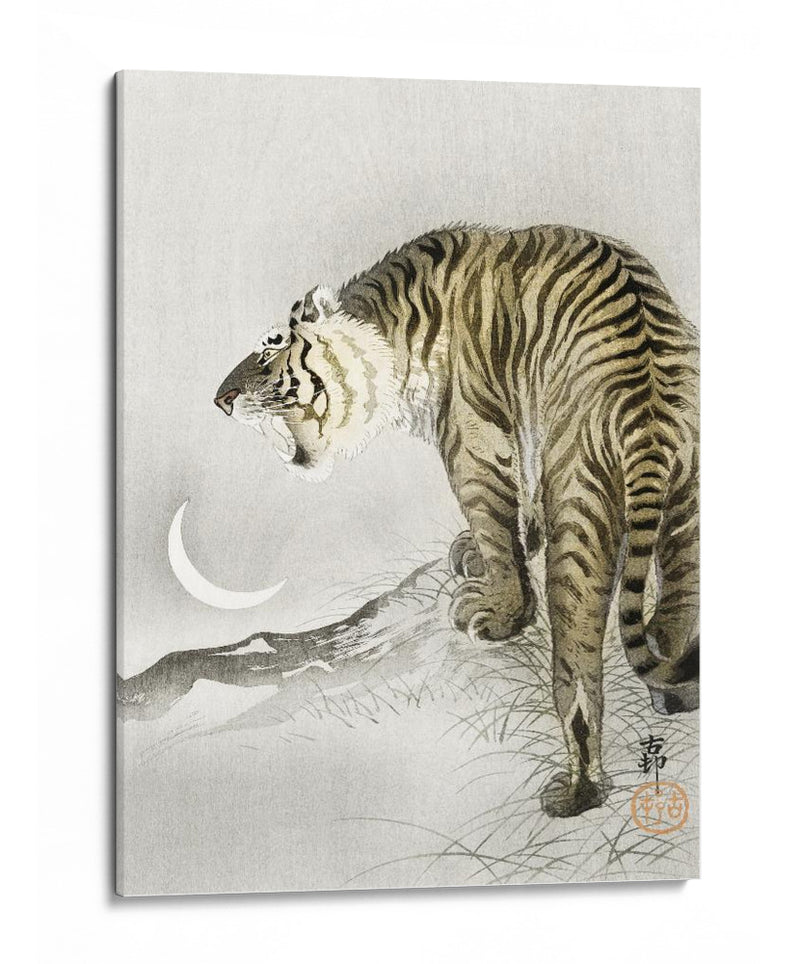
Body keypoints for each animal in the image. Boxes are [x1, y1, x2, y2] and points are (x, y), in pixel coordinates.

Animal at [214, 224, 699, 818]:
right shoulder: (523, 425)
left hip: (581, 507)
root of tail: (648, 406)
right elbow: (519, 509)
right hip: (689, 510)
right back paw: (676, 693)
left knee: (578, 670)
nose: (220, 399)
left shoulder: (472, 440)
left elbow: (494, 522)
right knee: (677, 613)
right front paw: (488, 551)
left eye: (270, 349)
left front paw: (499, 611)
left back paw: (577, 791)